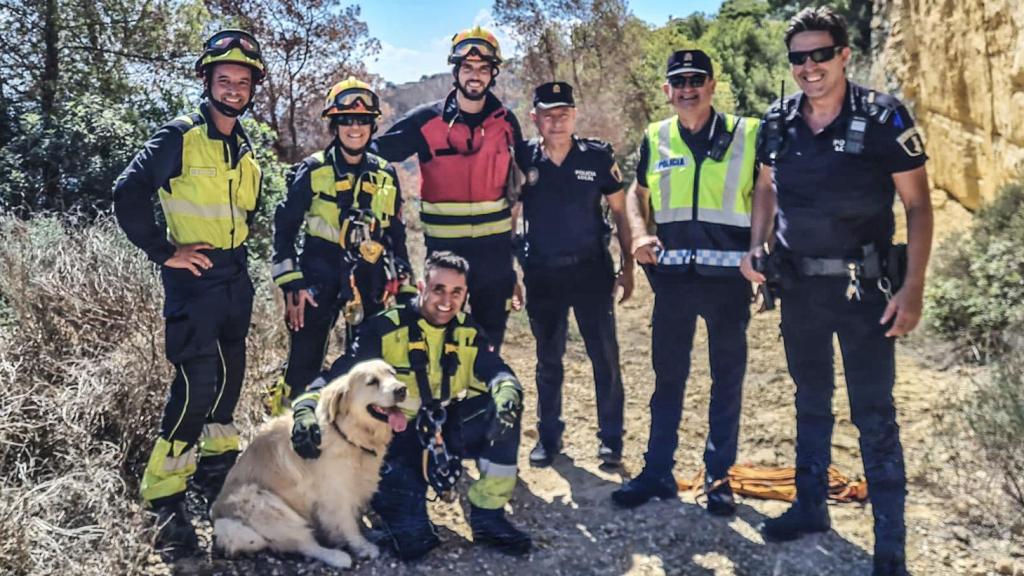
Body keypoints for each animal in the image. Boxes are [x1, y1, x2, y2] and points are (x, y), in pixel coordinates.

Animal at [210, 358, 407, 565]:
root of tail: (216, 514)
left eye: (392, 373)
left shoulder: (358, 485)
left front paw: (368, 532)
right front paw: (362, 546)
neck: (347, 433)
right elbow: (348, 524)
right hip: (263, 503)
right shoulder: (335, 495)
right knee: (305, 544)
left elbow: (357, 517)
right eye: (372, 382)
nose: (402, 389)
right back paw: (336, 557)